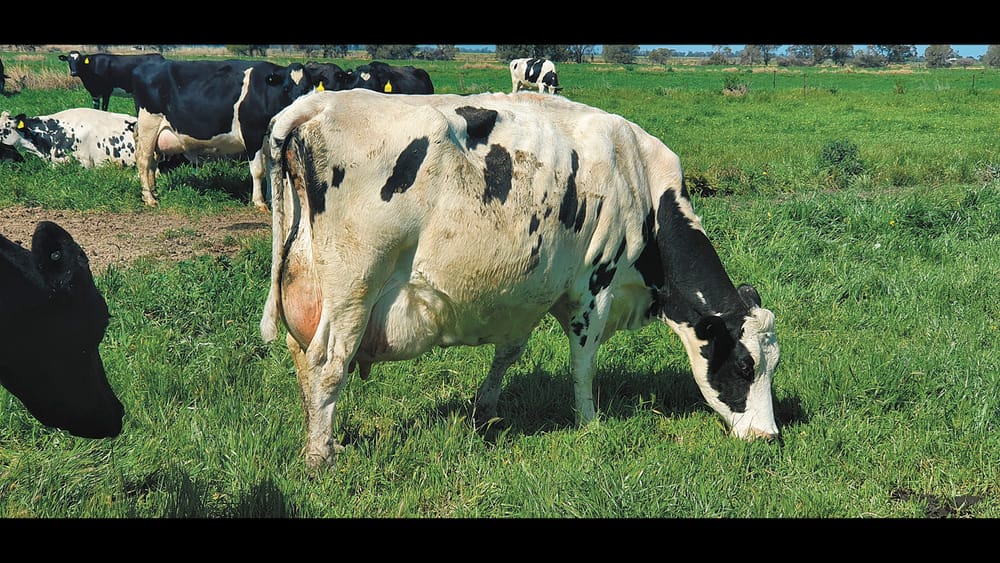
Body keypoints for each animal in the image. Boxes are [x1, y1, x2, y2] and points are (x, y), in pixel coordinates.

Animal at [130, 58, 315, 210]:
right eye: (286, 88)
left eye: (309, 88)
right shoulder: (252, 134)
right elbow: (258, 171)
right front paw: (259, 203)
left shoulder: (268, 140)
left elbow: (271, 171)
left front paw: (271, 200)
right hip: (149, 123)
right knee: (144, 159)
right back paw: (149, 198)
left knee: (153, 161)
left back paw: (154, 191)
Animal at [259, 89, 781, 469]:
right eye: (744, 366)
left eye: (774, 367)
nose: (769, 437)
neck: (642, 182)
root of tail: (318, 103)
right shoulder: (595, 286)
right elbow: (583, 364)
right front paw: (589, 424)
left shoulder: (528, 292)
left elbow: (508, 354)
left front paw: (484, 413)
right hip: (355, 290)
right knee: (328, 363)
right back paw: (321, 456)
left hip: (310, 285)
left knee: (302, 357)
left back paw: (324, 438)